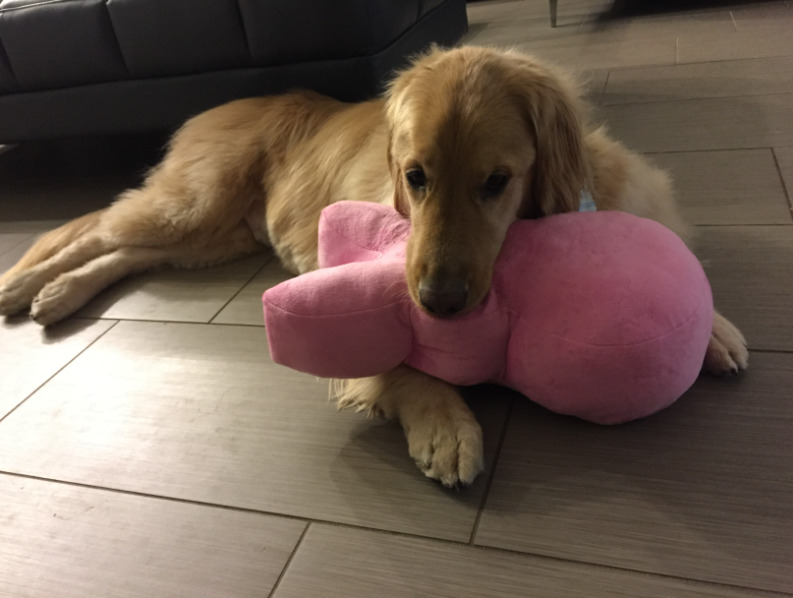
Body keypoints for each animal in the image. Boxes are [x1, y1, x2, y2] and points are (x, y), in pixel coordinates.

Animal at [0, 45, 744, 488]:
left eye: (496, 181)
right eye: (415, 177)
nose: (439, 302)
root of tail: (224, 103)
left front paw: (715, 332)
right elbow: (396, 361)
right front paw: (444, 425)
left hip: (215, 236)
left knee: (124, 248)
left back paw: (58, 295)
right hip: (194, 204)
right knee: (90, 225)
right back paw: (24, 282)